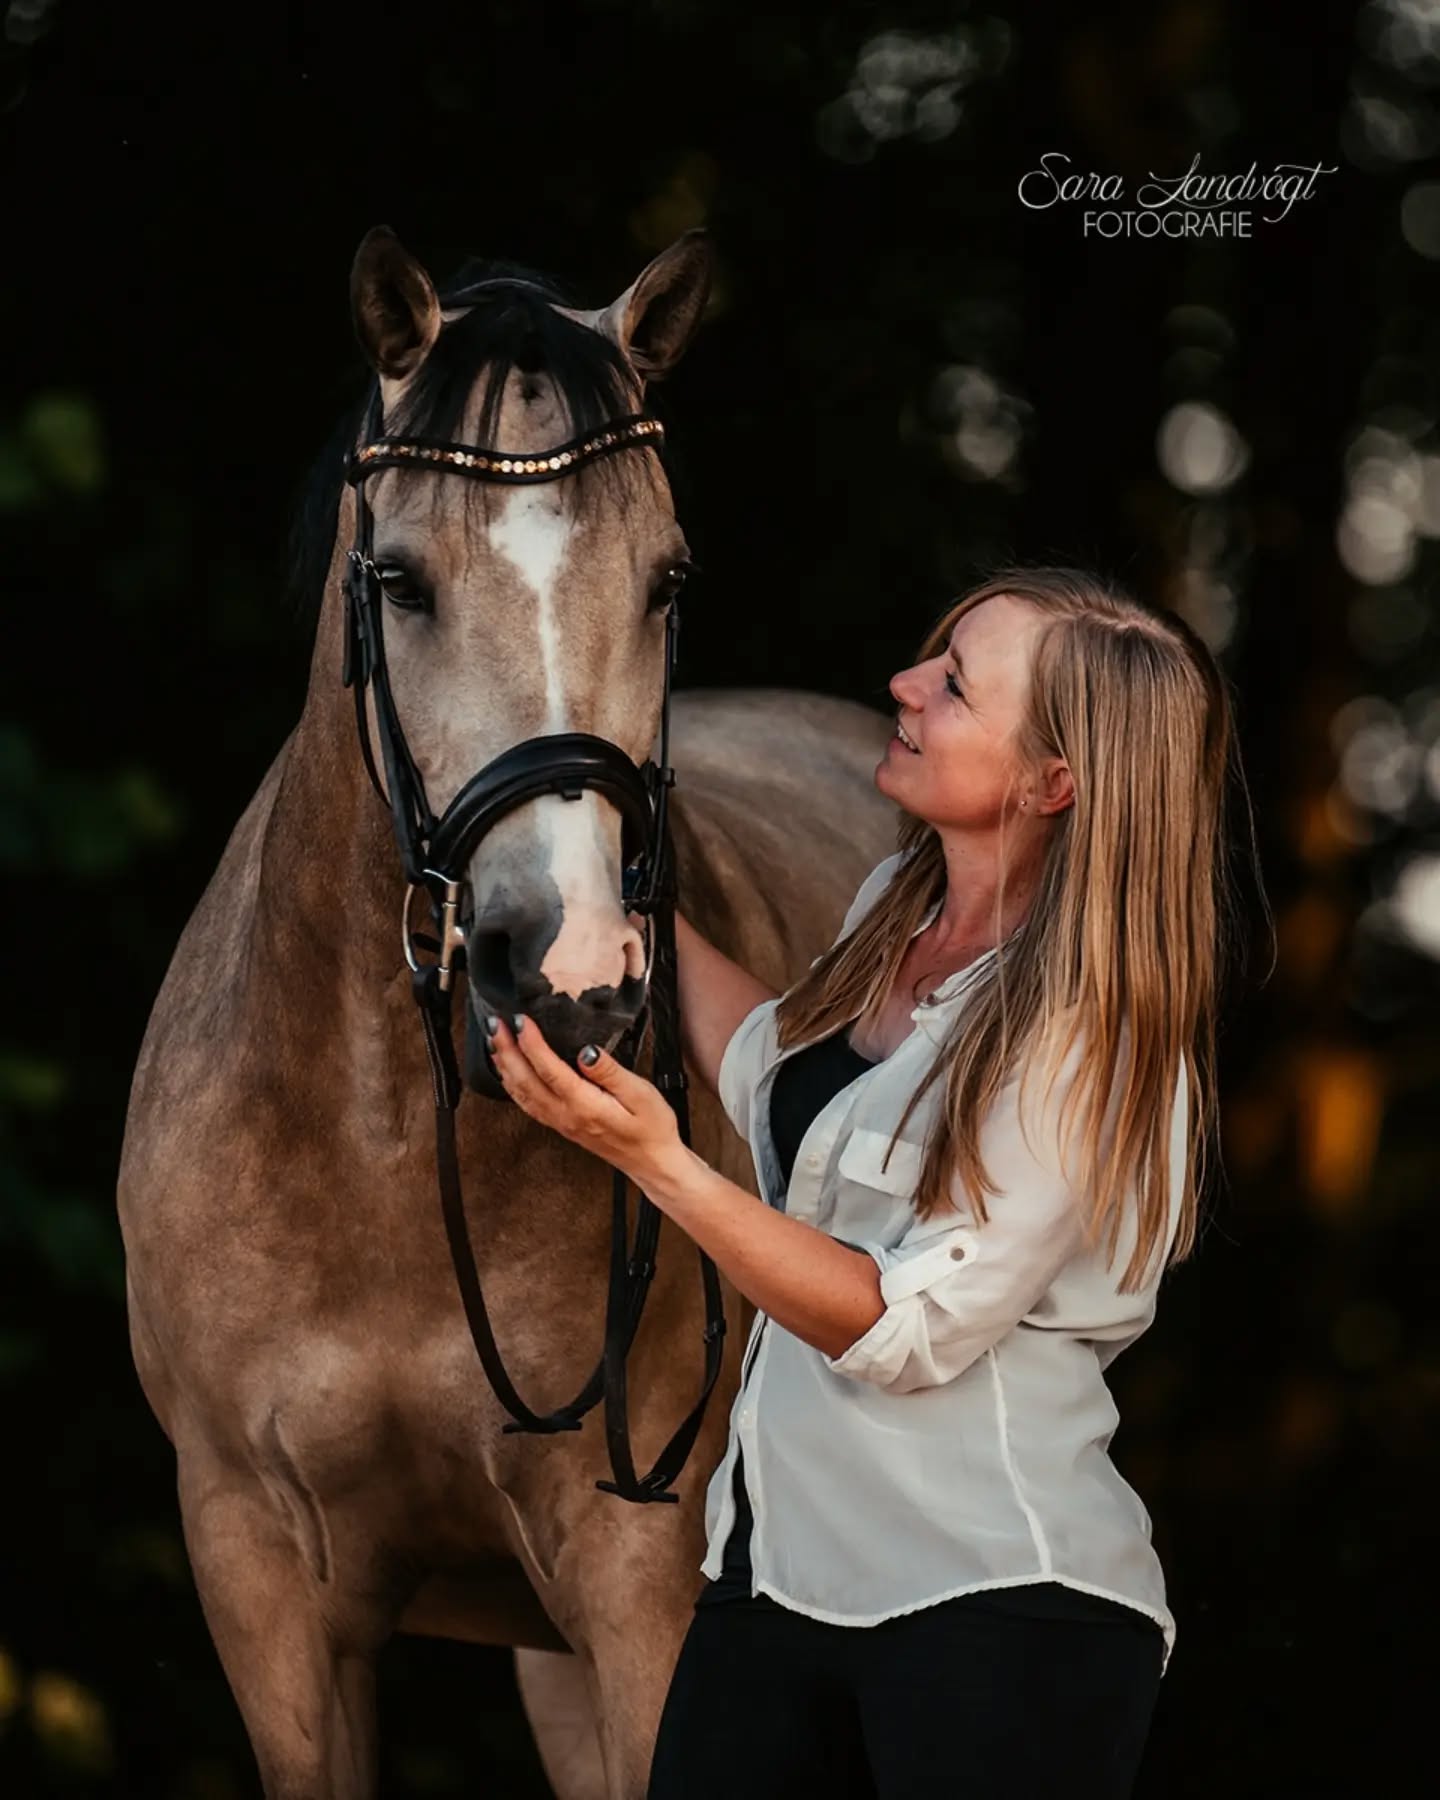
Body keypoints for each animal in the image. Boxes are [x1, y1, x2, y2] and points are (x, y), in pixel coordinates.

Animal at [117, 224, 900, 1798]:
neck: (374, 1151)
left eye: (667, 581)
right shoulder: (264, 1584)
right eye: (403, 581)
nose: (572, 970)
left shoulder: (641, 1585)